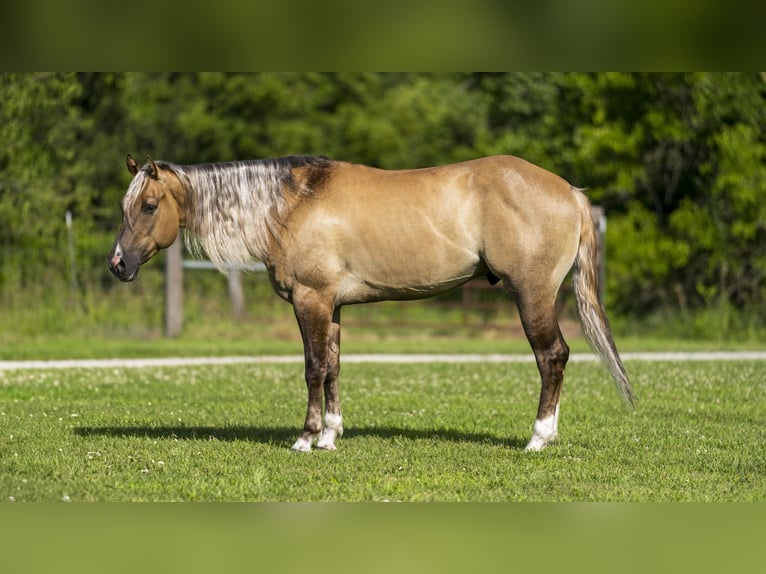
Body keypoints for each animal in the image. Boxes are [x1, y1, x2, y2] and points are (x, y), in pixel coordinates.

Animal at [108, 153, 634, 452]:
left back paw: (539, 438)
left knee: (552, 357)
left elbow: (313, 369)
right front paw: (330, 435)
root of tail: (570, 192)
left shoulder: (310, 300)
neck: (292, 204)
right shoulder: (333, 306)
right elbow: (334, 367)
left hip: (532, 295)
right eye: (124, 207)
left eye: (148, 206)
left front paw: (306, 438)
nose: (118, 264)